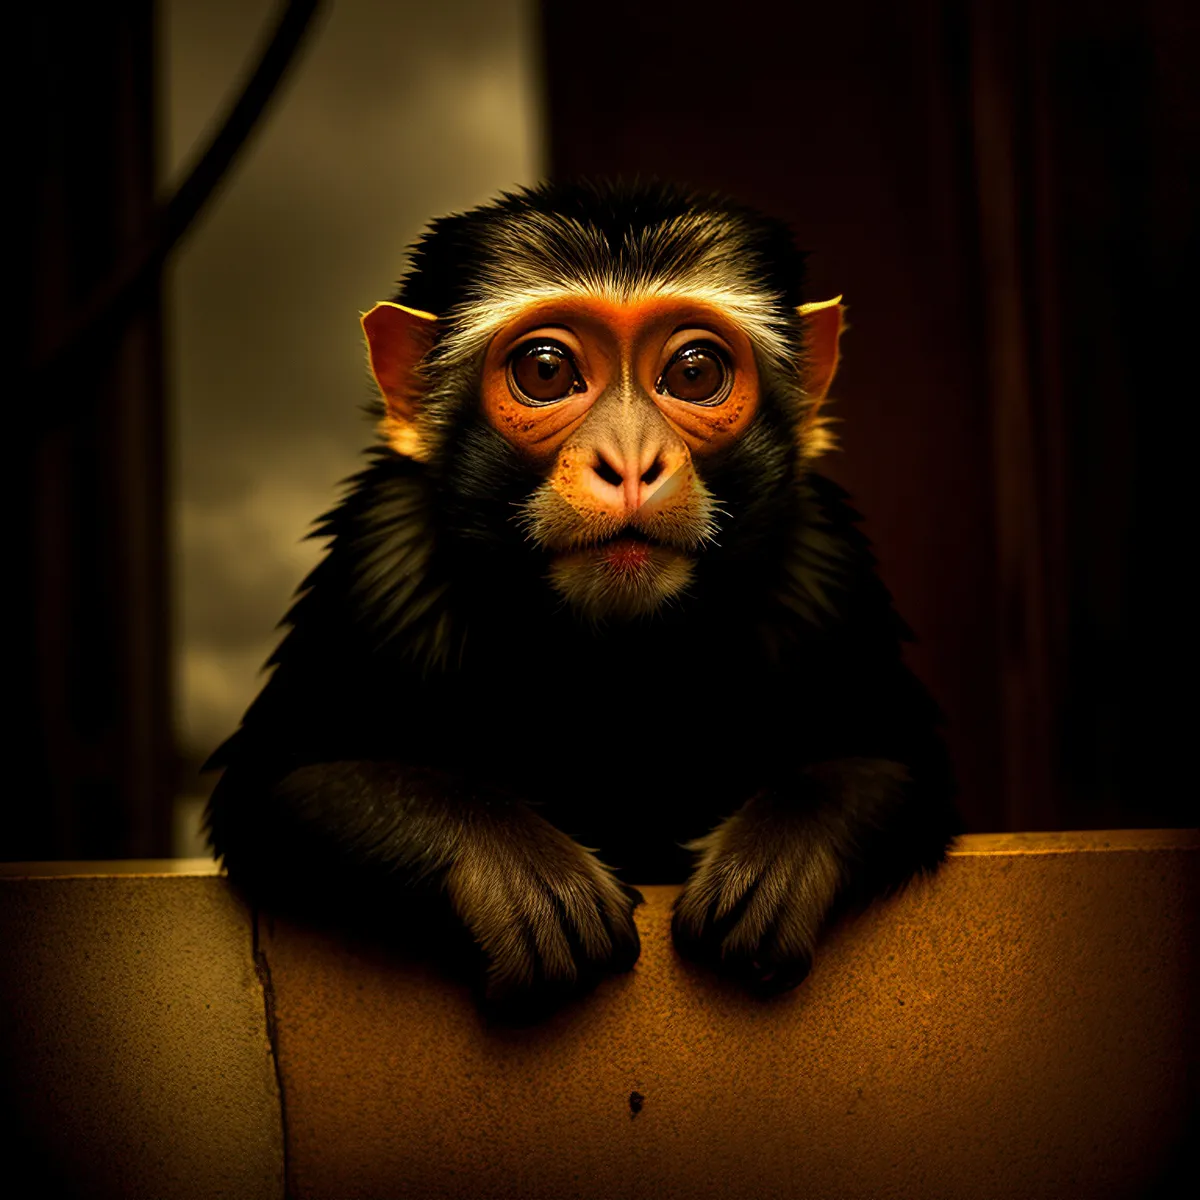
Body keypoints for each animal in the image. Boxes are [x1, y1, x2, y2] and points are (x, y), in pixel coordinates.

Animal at [201, 177, 960, 1008]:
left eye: (694, 373)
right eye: (544, 371)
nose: (628, 460)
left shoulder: (824, 566)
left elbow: (901, 766)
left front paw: (779, 856)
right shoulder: (382, 559)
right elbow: (277, 788)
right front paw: (515, 870)